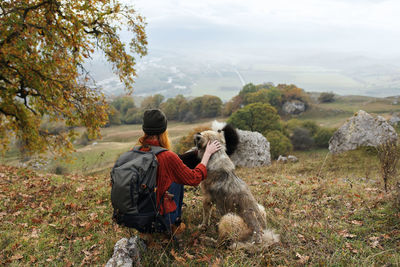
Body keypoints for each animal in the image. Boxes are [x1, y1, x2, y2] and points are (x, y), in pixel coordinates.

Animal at [186, 122, 280, 250]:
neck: (216, 155)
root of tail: (261, 235)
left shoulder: (206, 198)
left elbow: (206, 215)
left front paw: (202, 227)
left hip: (227, 218)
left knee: (220, 243)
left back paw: (207, 240)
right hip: (261, 208)